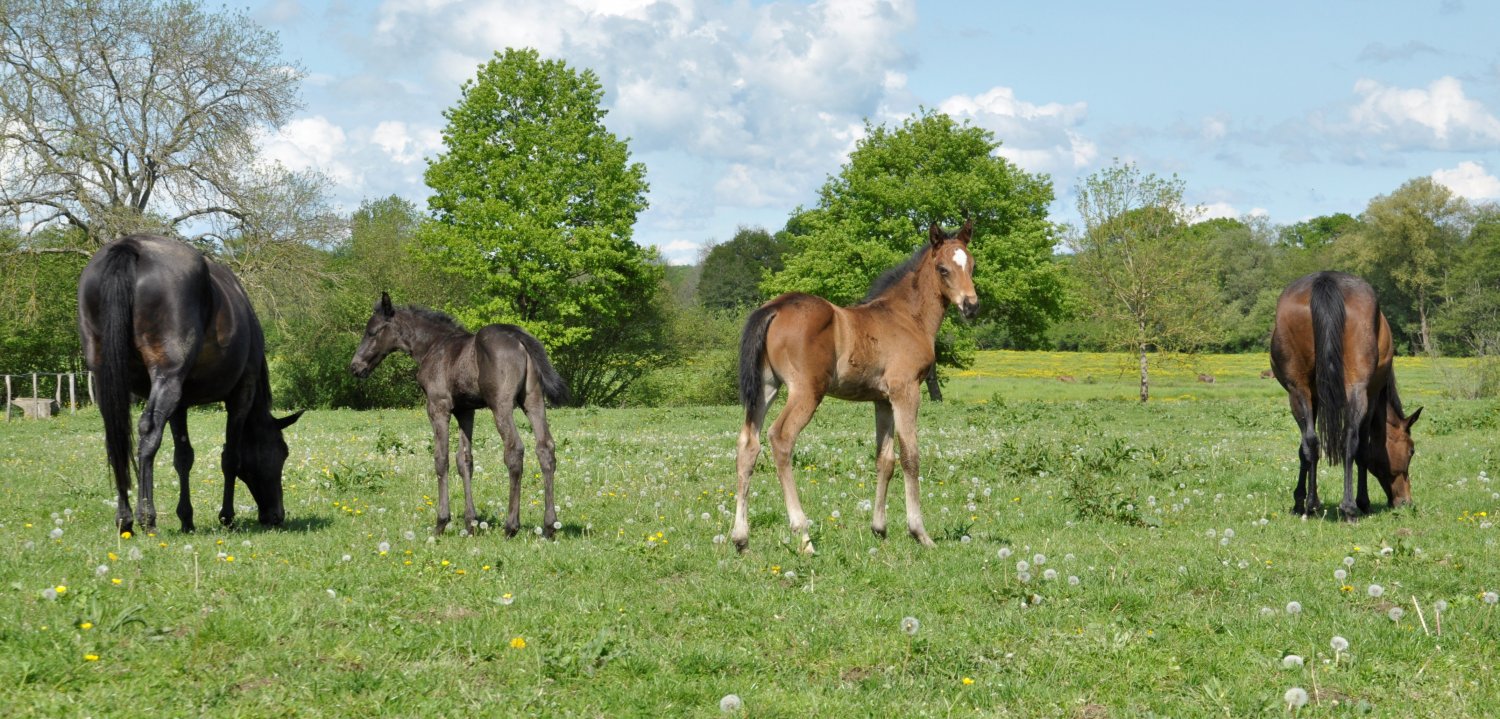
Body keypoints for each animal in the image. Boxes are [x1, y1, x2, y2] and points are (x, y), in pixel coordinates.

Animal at [77, 234, 303, 535]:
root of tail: (131, 246)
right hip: (166, 380)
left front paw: (186, 518)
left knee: (117, 440)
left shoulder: (180, 405)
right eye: (282, 452)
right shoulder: (240, 397)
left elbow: (183, 458)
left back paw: (125, 520)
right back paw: (147, 518)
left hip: (109, 382)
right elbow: (230, 458)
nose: (276, 515)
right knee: (148, 433)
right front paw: (227, 516)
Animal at [350, 293, 568, 537]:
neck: (432, 346)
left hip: (500, 405)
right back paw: (549, 526)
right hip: (533, 400)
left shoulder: (438, 406)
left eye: (372, 332)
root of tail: (519, 337)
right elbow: (464, 460)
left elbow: (441, 459)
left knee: (514, 450)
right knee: (545, 448)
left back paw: (511, 526)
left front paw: (442, 521)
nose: (355, 367)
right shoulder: (465, 411)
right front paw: (470, 523)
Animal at [732, 220, 979, 553]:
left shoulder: (883, 400)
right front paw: (920, 532)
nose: (971, 306)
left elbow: (885, 459)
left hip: (766, 388)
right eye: (943, 269)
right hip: (806, 391)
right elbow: (910, 456)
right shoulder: (906, 391)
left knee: (749, 443)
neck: (907, 317)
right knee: (780, 438)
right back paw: (803, 535)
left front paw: (880, 528)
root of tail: (775, 308)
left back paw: (741, 538)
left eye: (972, 265)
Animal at [1270, 271, 1422, 521]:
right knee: (1351, 439)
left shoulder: (1312, 395)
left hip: (1298, 389)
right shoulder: (1372, 395)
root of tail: (1325, 280)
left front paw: (1299, 502)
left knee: (1311, 441)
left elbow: (1304, 449)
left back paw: (1311, 504)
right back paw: (1350, 508)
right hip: (1357, 390)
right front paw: (1363, 502)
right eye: (1411, 450)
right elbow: (1363, 451)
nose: (1405, 502)